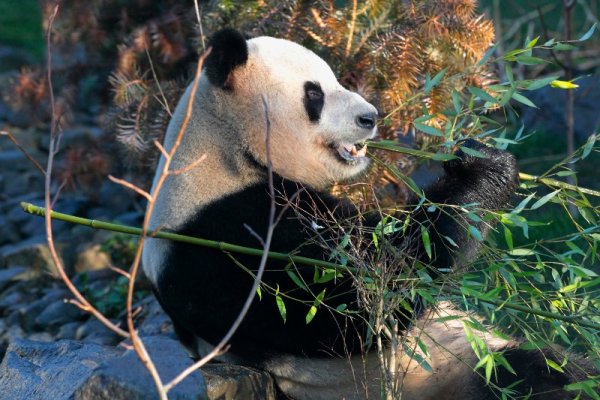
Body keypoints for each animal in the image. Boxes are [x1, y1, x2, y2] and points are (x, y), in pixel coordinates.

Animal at [142, 28, 596, 400]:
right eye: (315, 94)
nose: (370, 118)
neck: (225, 151)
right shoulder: (225, 238)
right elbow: (367, 293)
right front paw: (482, 168)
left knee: (555, 368)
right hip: (441, 377)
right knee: (526, 379)